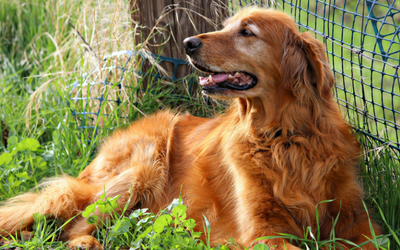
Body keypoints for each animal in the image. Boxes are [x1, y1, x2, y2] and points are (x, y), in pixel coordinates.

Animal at [0, 6, 382, 249]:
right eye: (227, 26)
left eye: (247, 32)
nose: (188, 43)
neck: (283, 137)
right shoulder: (261, 230)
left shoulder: (356, 219)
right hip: (140, 169)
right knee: (74, 224)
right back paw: (83, 243)